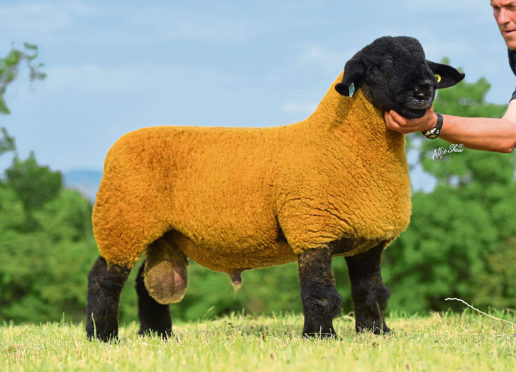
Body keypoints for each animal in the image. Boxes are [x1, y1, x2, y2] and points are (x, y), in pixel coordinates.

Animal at [84, 36, 464, 342]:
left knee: (145, 285)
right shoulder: (312, 228)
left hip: (161, 234)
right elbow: (321, 293)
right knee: (104, 279)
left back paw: (157, 335)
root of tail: (116, 148)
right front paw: (320, 337)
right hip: (122, 222)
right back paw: (102, 336)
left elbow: (372, 292)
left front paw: (376, 333)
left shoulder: (368, 241)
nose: (424, 90)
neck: (336, 140)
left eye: (426, 64)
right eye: (375, 66)